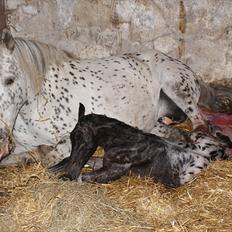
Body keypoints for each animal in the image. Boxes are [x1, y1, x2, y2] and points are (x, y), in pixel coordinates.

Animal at [0, 29, 231, 168]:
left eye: (10, 80)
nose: (2, 140)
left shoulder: (73, 136)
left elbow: (48, 158)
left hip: (177, 86)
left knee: (200, 123)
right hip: (153, 121)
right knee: (172, 130)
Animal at [51, 104, 228, 188]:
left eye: (81, 139)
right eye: (71, 138)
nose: (72, 170)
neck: (129, 140)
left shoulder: (115, 170)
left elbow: (86, 177)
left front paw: (66, 177)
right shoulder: (106, 162)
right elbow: (91, 161)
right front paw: (55, 168)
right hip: (197, 138)